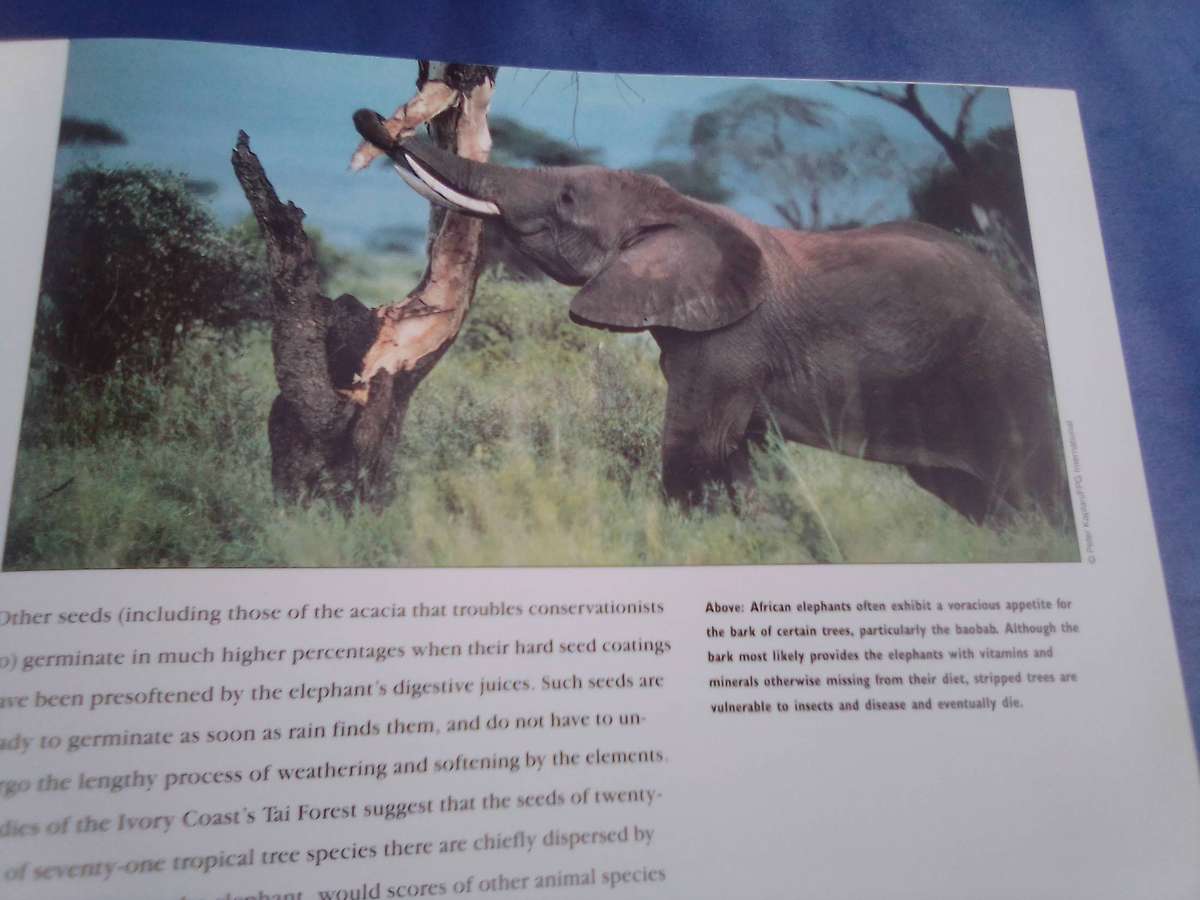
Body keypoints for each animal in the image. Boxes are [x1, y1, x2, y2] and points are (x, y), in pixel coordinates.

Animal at [353, 109, 1072, 528]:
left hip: (1003, 377)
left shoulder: (733, 340)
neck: (682, 207)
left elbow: (695, 448)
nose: (374, 122)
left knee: (1035, 487)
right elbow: (736, 455)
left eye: (567, 199)